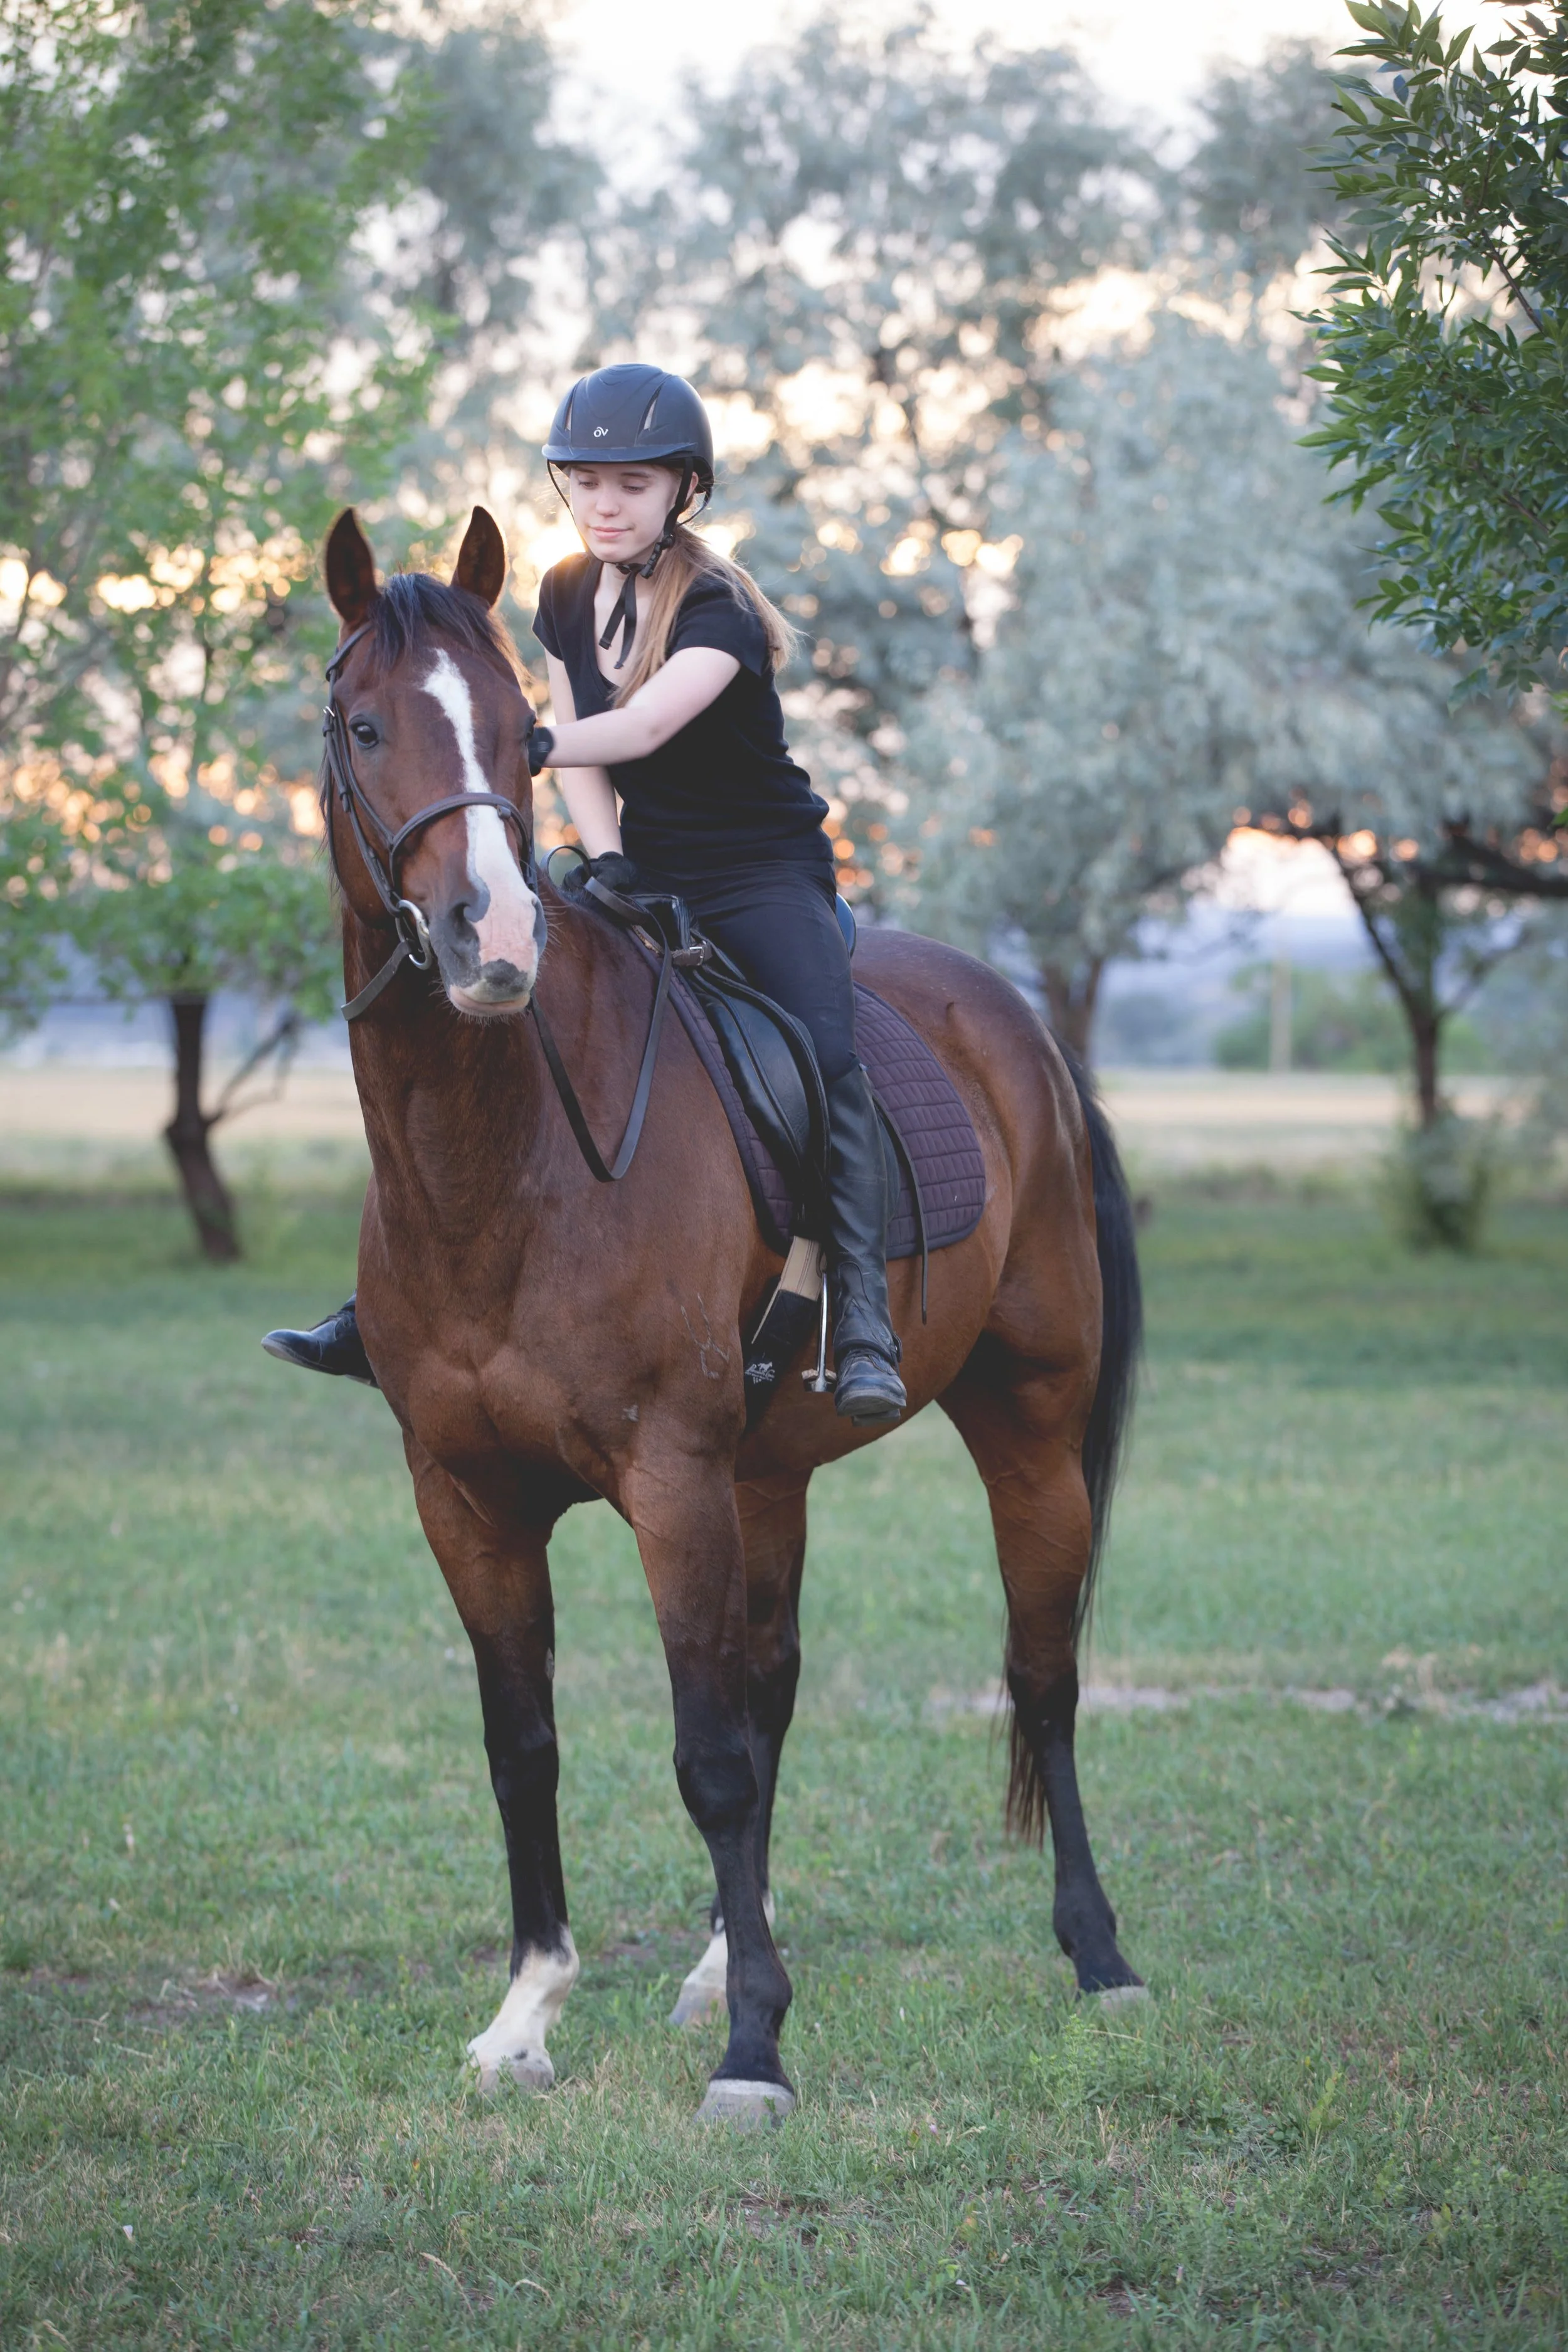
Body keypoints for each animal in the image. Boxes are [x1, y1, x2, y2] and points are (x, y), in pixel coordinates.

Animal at [316, 504, 1146, 2128]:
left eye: (519, 731)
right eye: (366, 725)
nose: (491, 939)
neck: (506, 1165)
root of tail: (1021, 1031)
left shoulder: (672, 1477)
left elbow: (705, 1758)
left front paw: (755, 2045)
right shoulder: (467, 1496)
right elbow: (529, 1746)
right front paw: (529, 2014)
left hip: (1025, 1426)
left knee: (1040, 1678)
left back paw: (1097, 1954)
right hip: (772, 1472)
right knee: (773, 1688)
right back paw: (718, 1953)